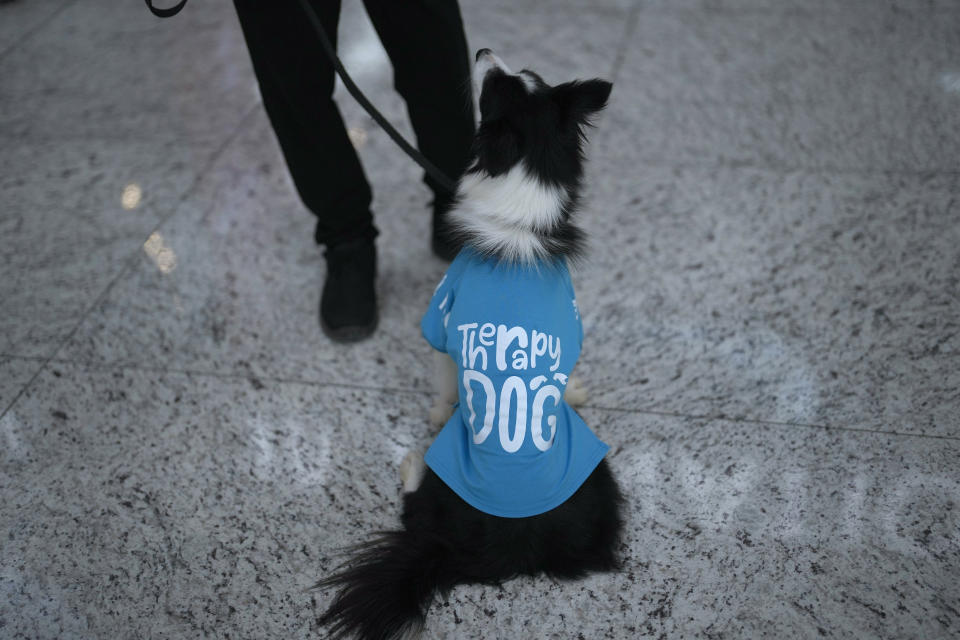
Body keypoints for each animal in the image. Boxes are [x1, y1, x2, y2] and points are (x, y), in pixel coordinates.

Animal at [318, 50, 628, 640]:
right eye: (516, 76)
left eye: (492, 88)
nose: (482, 51)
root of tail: (508, 552)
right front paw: (573, 390)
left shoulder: (443, 317)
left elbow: (443, 377)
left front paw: (441, 409)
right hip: (599, 475)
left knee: (413, 506)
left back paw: (412, 461)